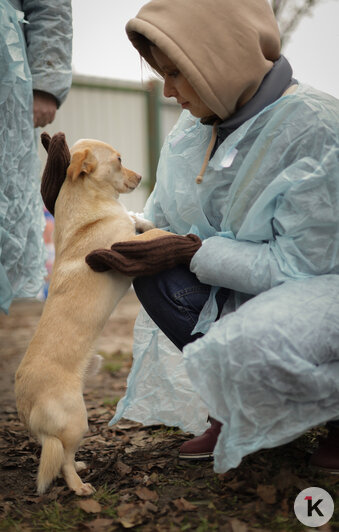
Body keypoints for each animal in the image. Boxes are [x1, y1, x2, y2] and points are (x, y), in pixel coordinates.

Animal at [14, 139, 155, 496]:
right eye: (119, 160)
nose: (141, 177)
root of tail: (25, 407)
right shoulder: (125, 245)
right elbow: (155, 235)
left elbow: (139, 220)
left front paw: (142, 217)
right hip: (78, 419)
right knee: (62, 459)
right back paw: (79, 486)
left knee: (62, 453)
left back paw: (77, 468)